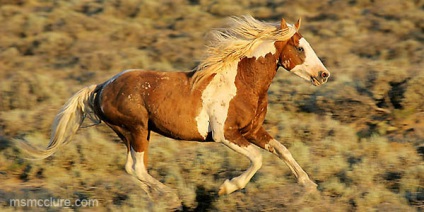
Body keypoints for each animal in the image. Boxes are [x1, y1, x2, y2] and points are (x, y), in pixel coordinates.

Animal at [18, 15, 332, 198]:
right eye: (300, 48)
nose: (324, 75)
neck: (241, 82)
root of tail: (102, 87)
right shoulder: (226, 135)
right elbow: (257, 159)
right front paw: (227, 187)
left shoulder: (253, 130)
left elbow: (281, 150)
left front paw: (308, 184)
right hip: (137, 130)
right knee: (137, 168)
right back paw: (169, 194)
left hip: (132, 133)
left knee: (132, 168)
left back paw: (155, 195)